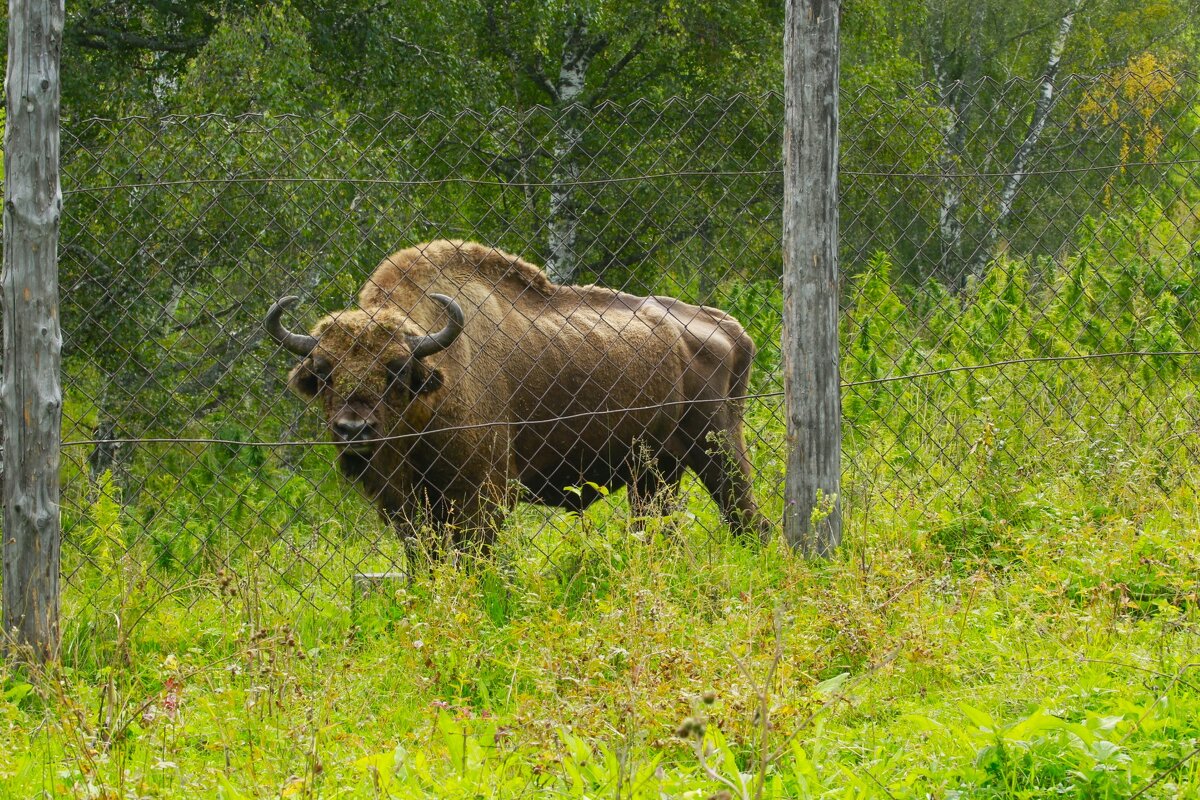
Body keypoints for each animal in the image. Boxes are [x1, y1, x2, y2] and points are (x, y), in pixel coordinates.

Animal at [265, 241, 768, 561]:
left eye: (397, 370)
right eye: (323, 371)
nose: (353, 431)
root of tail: (730, 328)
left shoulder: (481, 495)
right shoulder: (406, 506)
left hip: (717, 449)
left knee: (745, 518)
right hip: (655, 471)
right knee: (659, 524)